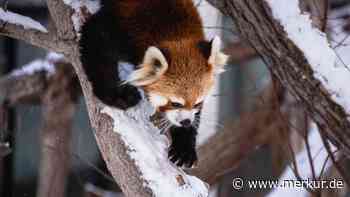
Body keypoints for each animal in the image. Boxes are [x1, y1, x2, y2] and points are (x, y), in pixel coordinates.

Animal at [78, 0, 227, 167]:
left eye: (197, 103)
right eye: (176, 103)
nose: (186, 122)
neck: (173, 31)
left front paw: (184, 148)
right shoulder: (122, 29)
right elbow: (96, 39)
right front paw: (120, 96)